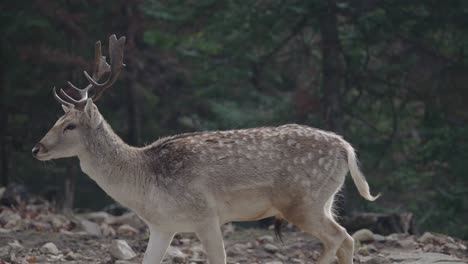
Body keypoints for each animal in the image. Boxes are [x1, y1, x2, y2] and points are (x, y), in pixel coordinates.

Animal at [33, 35, 378, 264]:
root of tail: (346, 146)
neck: (143, 183)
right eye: (56, 119)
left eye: (70, 125)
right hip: (325, 200)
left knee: (340, 237)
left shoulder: (205, 214)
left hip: (302, 201)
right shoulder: (163, 226)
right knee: (346, 239)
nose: (37, 148)